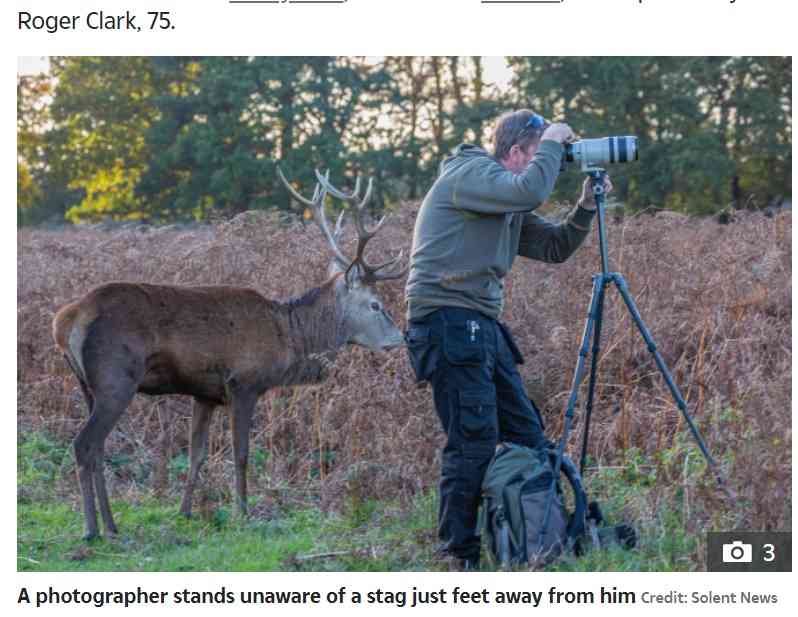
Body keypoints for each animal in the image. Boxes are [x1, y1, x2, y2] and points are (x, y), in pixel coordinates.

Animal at [52, 168, 406, 540]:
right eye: (375, 304)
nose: (401, 337)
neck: (288, 337)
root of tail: (65, 321)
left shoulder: (205, 393)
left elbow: (197, 454)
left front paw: (186, 511)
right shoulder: (243, 383)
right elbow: (241, 453)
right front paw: (243, 513)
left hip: (86, 385)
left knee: (98, 448)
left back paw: (111, 524)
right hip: (116, 378)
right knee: (84, 444)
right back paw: (92, 529)